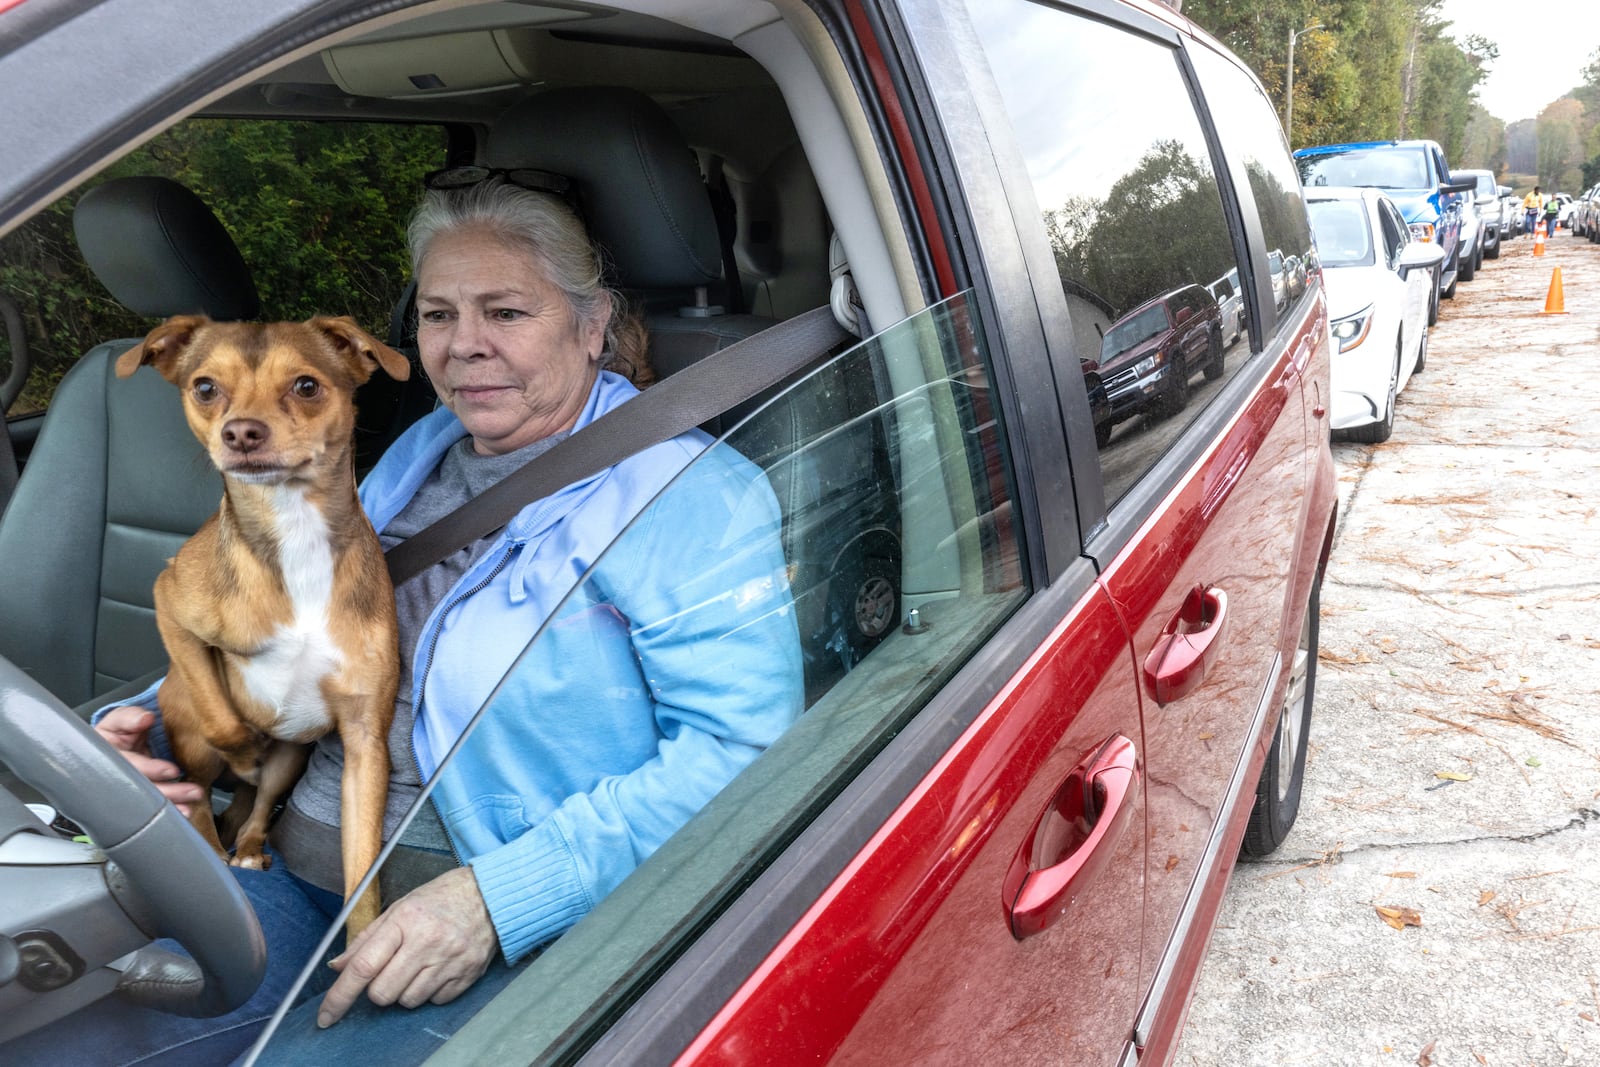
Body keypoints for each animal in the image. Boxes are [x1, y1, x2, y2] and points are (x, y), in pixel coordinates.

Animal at [123, 315, 412, 934]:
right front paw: (243, 751)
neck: (295, 533)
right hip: (189, 733)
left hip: (294, 758)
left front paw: (362, 947)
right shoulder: (169, 602)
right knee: (199, 797)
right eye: (205, 388)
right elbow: (225, 723)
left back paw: (250, 847)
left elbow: (362, 873)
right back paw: (215, 840)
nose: (241, 433)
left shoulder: (364, 745)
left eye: (306, 386)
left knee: (255, 810)